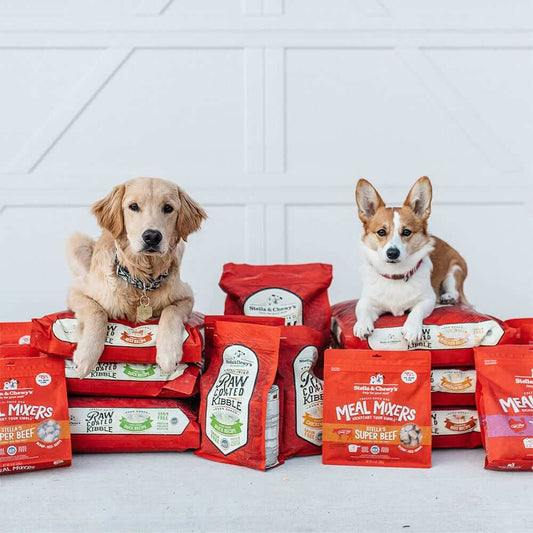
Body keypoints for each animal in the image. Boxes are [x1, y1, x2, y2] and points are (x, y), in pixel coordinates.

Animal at [66, 177, 206, 376]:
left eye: (168, 208)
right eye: (133, 206)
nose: (152, 236)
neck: (142, 281)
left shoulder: (187, 295)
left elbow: (171, 310)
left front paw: (168, 353)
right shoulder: (76, 292)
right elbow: (97, 311)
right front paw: (86, 356)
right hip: (77, 242)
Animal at [354, 179, 466, 342]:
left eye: (406, 232)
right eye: (381, 232)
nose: (392, 253)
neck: (395, 275)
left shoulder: (428, 299)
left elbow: (416, 311)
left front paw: (412, 328)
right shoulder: (367, 300)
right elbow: (362, 309)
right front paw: (362, 325)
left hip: (455, 269)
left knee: (455, 290)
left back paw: (448, 297)